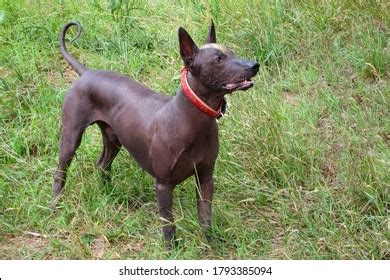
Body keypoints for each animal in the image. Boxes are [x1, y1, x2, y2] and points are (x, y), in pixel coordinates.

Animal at [51, 20, 258, 246]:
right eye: (218, 59)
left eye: (232, 51)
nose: (254, 65)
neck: (190, 120)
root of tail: (87, 72)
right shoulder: (163, 185)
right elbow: (168, 222)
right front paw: (171, 249)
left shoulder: (205, 177)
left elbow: (205, 215)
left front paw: (209, 242)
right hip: (71, 136)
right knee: (60, 172)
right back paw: (55, 205)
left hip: (113, 139)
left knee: (103, 164)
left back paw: (108, 194)